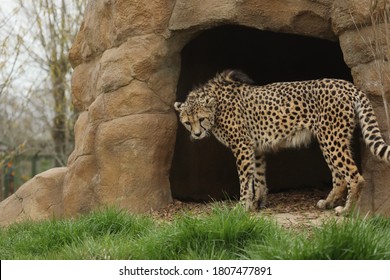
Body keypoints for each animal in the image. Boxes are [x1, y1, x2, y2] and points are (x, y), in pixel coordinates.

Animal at [174, 69, 390, 214]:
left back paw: (346, 211)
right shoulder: (256, 148)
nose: (197, 134)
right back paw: (328, 203)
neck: (216, 107)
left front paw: (242, 205)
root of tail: (349, 85)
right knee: (339, 177)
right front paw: (257, 203)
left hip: (331, 138)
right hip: (334, 139)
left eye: (201, 119)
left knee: (354, 176)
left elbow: (245, 179)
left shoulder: (242, 147)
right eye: (187, 122)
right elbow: (258, 177)